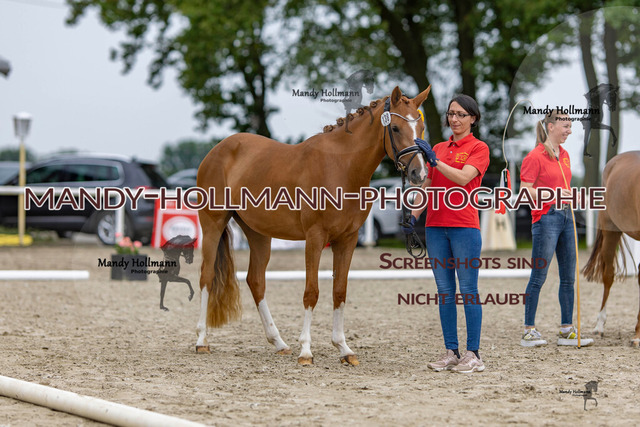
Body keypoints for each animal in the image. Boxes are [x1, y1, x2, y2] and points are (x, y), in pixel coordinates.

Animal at [195, 86, 431, 365]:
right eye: (394, 128)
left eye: (421, 127)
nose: (419, 173)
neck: (342, 168)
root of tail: (217, 150)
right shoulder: (315, 237)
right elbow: (312, 292)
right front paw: (306, 351)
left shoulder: (348, 239)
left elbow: (339, 291)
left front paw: (344, 349)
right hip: (213, 223)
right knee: (207, 277)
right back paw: (202, 341)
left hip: (258, 233)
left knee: (256, 281)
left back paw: (279, 342)